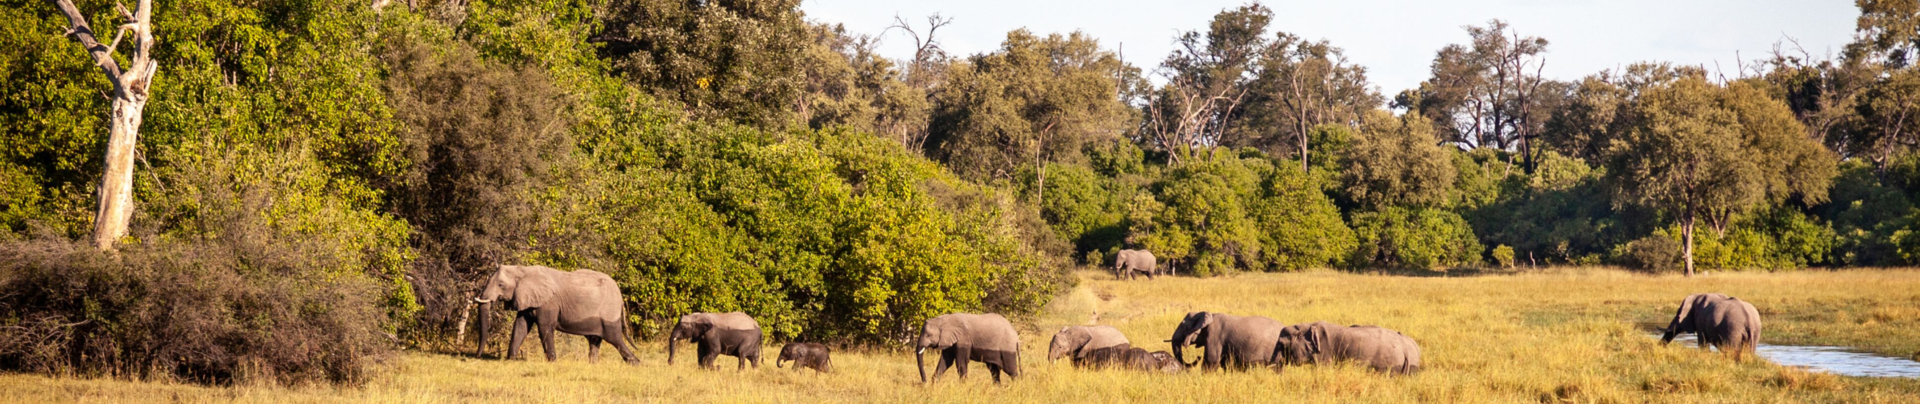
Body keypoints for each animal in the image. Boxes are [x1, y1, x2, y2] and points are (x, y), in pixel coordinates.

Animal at [473, 265, 639, 364]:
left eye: (501, 285)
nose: (477, 357)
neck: (523, 270)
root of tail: (620, 295)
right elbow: (520, 326)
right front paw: (511, 360)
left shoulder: (548, 302)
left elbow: (544, 328)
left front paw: (552, 362)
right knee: (594, 339)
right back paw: (593, 364)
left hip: (609, 311)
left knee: (614, 338)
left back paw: (636, 363)